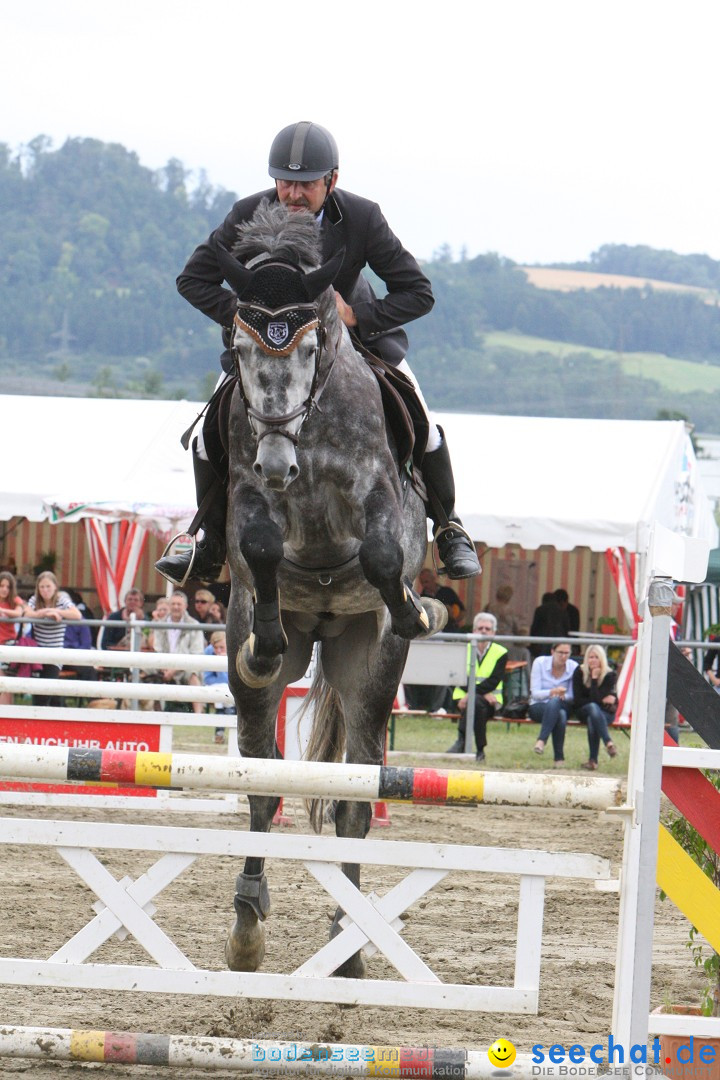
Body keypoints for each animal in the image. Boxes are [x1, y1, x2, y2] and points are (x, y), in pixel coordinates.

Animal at [216, 200, 446, 980]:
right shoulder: (247, 493)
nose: (277, 462)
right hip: (274, 673)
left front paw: (416, 609)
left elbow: (381, 553)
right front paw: (261, 644)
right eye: (240, 348)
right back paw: (248, 926)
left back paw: (350, 944)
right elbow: (258, 545)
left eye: (311, 347)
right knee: (264, 786)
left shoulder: (379, 494)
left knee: (356, 796)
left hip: (363, 664)